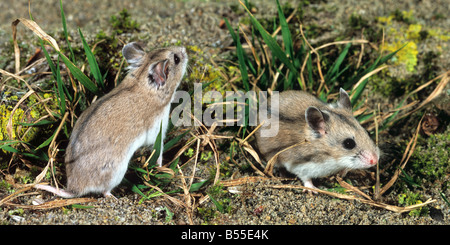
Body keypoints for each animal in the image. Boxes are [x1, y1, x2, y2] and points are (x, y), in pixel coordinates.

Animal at [35, 42, 188, 198]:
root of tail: (73, 188)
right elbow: (159, 151)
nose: (184, 49)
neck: (142, 82)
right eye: (176, 59)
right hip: (116, 173)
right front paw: (162, 167)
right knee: (104, 192)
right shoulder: (156, 132)